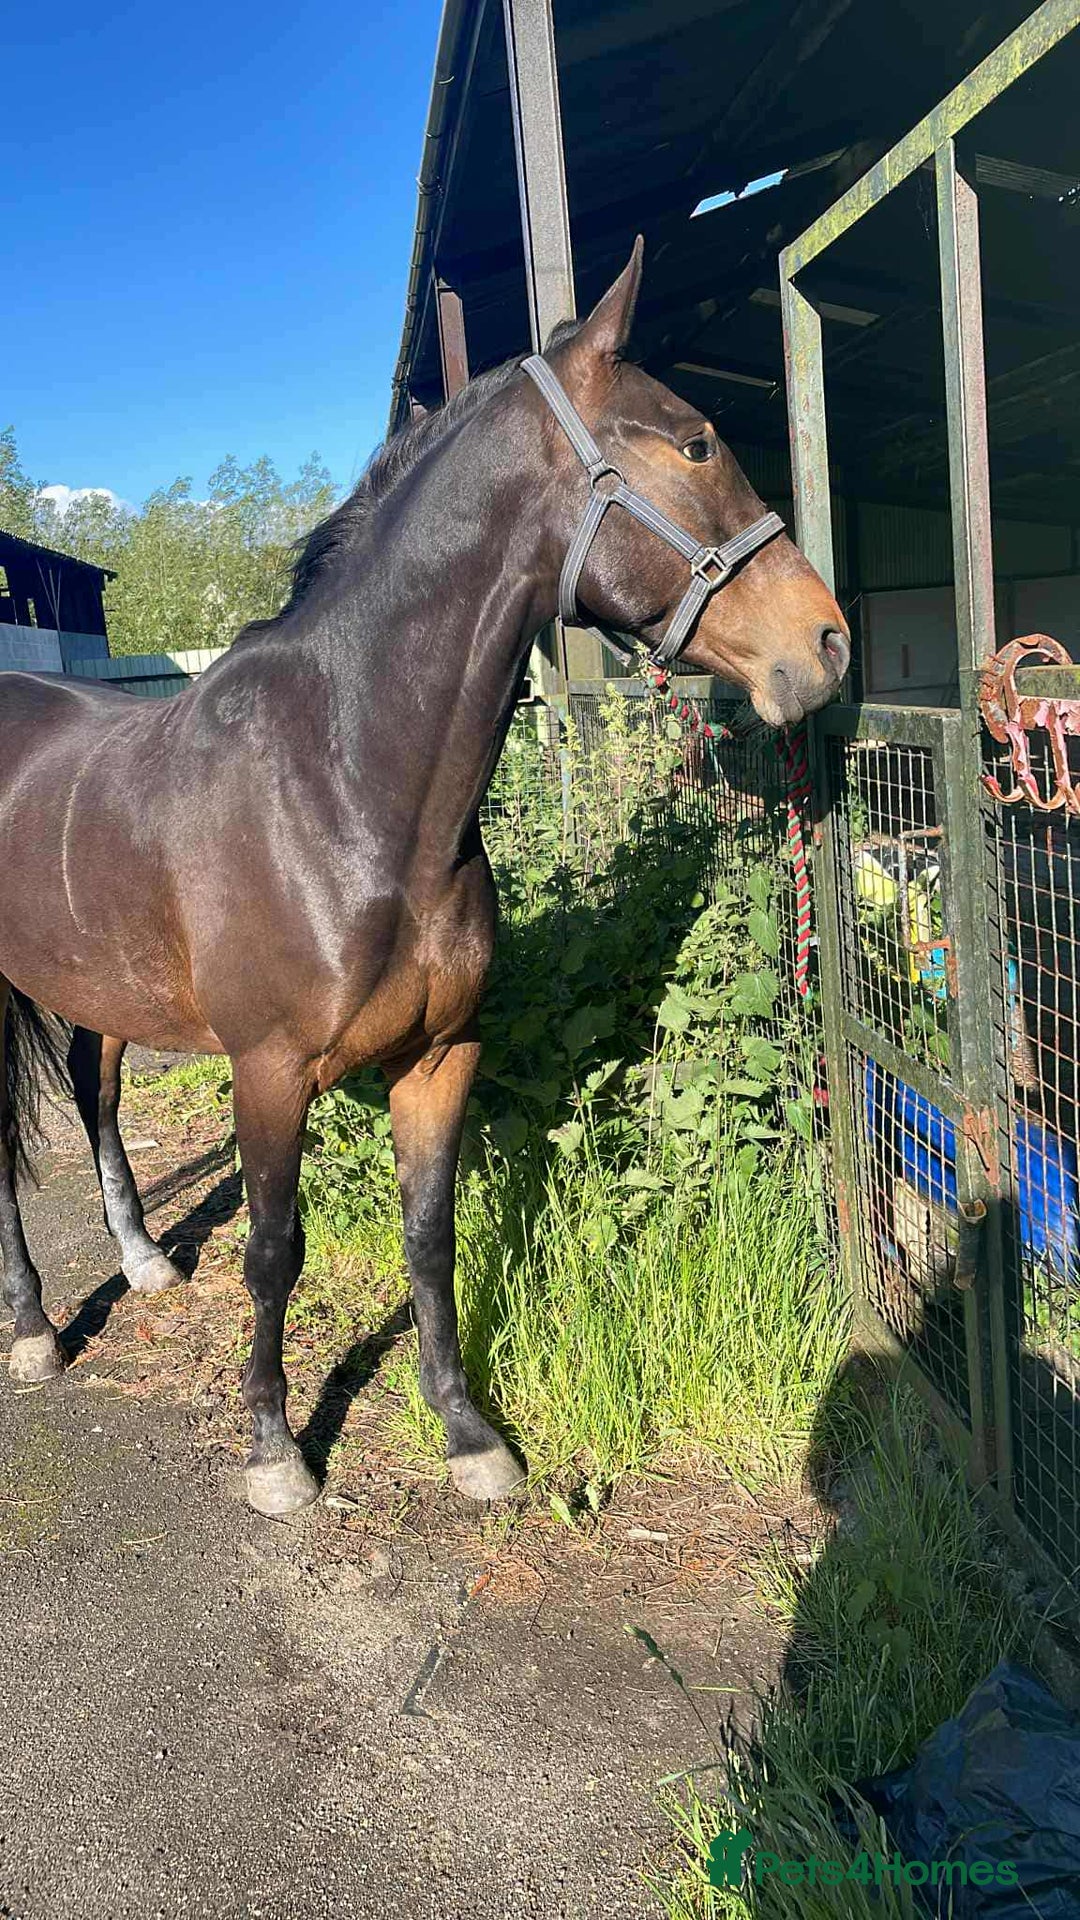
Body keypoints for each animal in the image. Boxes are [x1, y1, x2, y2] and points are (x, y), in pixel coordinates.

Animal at [0, 243, 849, 1517]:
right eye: (696, 441)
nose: (828, 642)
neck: (343, 787)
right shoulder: (269, 1072)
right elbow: (274, 1251)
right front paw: (275, 1452)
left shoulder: (442, 1056)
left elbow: (431, 1237)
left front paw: (468, 1435)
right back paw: (36, 1331)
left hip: (94, 980)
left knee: (95, 1090)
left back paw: (143, 1263)